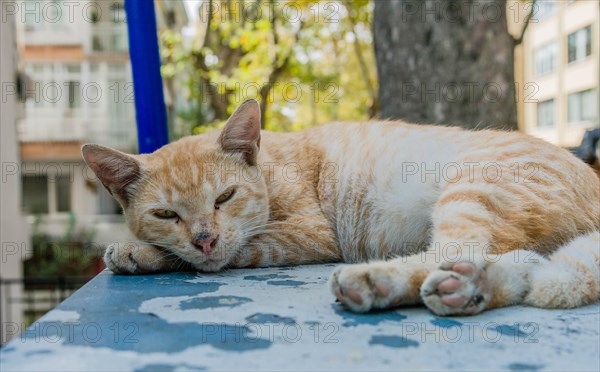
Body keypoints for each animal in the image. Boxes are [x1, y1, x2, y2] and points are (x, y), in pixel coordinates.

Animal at [82, 100, 596, 316]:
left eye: (224, 197)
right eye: (166, 215)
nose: (204, 238)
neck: (270, 165)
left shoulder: (308, 235)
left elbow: (240, 249)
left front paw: (141, 252)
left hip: (471, 191)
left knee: (457, 252)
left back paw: (377, 280)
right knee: (511, 261)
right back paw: (470, 289)